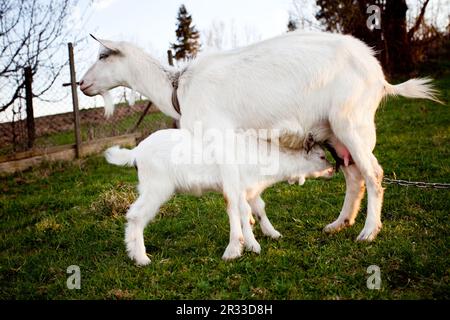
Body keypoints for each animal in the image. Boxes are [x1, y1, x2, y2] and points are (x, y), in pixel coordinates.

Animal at [81, 30, 440, 255]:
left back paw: (368, 232)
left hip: (351, 121)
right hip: (334, 131)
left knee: (373, 174)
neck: (178, 89)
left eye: (103, 54)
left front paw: (235, 246)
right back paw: (340, 224)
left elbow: (231, 196)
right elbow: (243, 195)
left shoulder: (221, 138)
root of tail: (379, 76)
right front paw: (254, 233)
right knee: (353, 175)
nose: (82, 84)